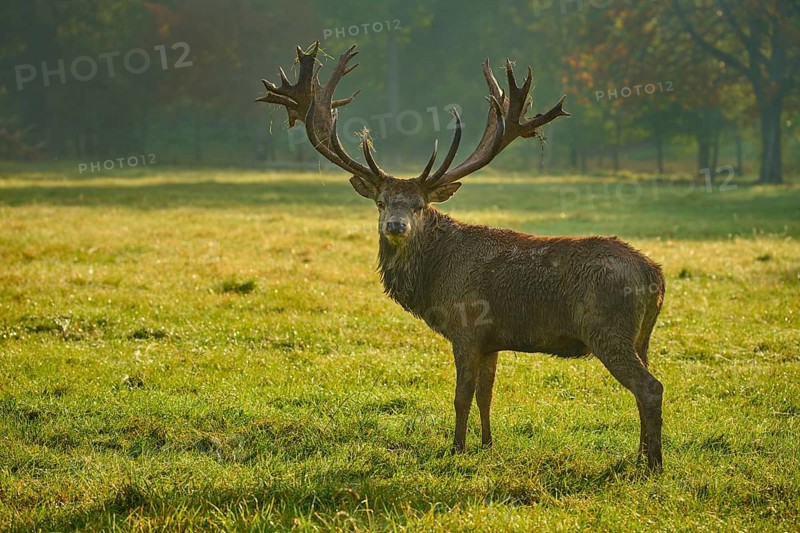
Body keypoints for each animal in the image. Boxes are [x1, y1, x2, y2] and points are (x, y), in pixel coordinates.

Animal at [257, 42, 666, 470]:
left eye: (419, 206)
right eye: (381, 202)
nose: (396, 226)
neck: (433, 282)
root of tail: (656, 276)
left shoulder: (466, 325)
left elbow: (461, 396)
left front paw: (456, 448)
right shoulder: (492, 339)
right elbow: (487, 394)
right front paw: (487, 444)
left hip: (607, 328)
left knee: (650, 387)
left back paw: (652, 465)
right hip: (641, 336)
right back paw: (640, 456)